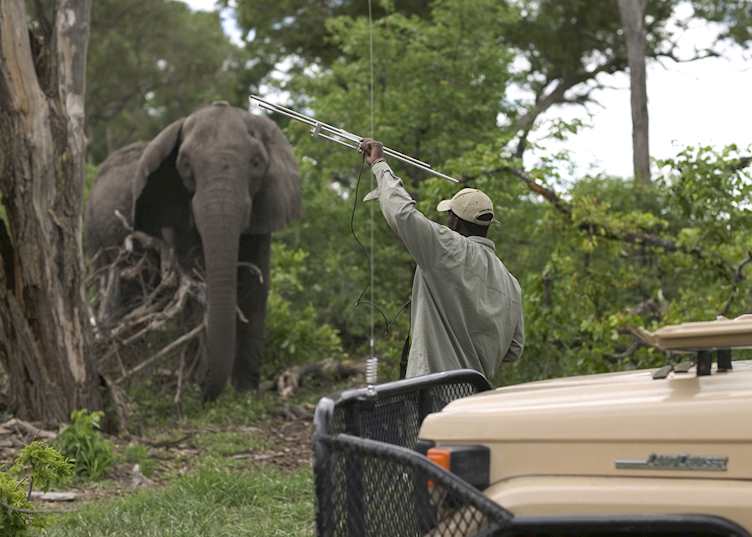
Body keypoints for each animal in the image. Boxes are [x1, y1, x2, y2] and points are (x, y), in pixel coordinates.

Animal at [84, 101, 301, 400]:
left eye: (257, 163)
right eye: (185, 165)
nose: (206, 393)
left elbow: (254, 285)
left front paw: (245, 394)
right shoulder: (173, 210)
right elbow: (196, 280)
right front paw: (196, 386)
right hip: (97, 238)